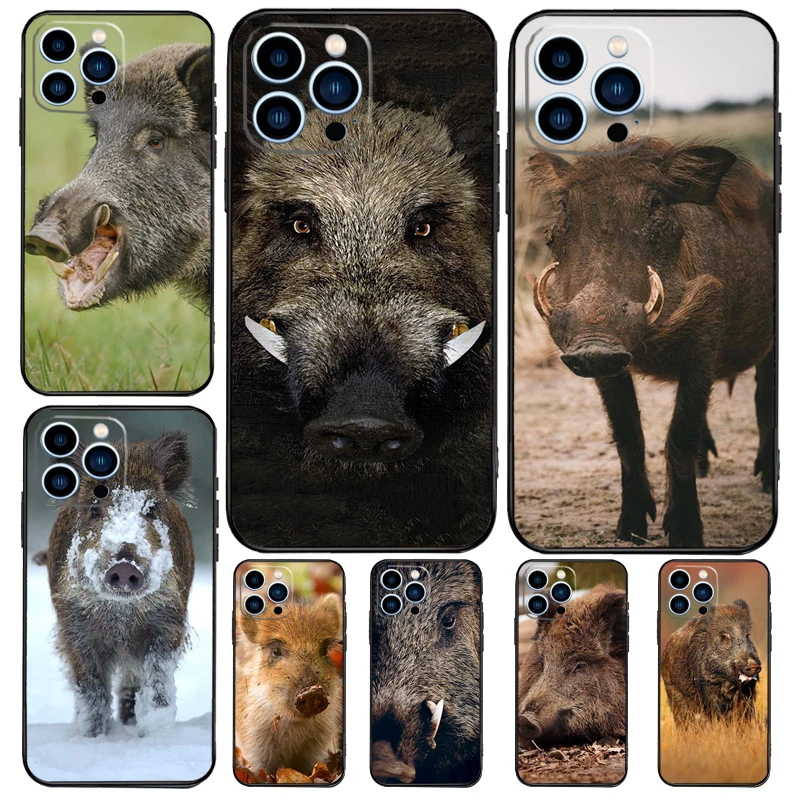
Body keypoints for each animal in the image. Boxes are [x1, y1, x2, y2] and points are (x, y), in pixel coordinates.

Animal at [42, 431, 195, 737]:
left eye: (150, 509)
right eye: (94, 509)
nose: (124, 566)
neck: (121, 617)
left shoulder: (168, 622)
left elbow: (158, 684)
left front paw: (154, 733)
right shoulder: (75, 630)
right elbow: (91, 691)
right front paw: (93, 737)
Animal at [526, 138, 775, 547]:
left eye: (656, 202)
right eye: (563, 206)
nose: (595, 342)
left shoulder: (704, 344)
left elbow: (680, 435)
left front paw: (686, 533)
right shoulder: (605, 366)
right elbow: (628, 434)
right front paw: (629, 530)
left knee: (763, 398)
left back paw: (768, 481)